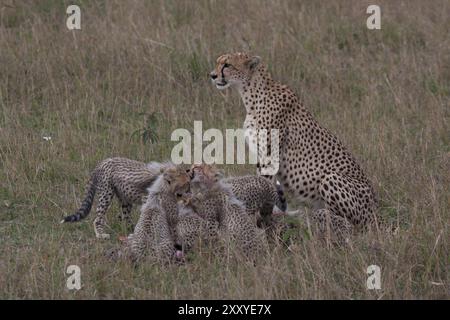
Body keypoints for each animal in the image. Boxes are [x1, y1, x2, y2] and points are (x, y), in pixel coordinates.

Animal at [211, 53, 380, 238]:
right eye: (218, 62)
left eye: (227, 65)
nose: (212, 75)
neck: (252, 94)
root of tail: (376, 211)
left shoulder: (269, 155)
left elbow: (263, 183)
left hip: (331, 179)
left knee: (352, 226)